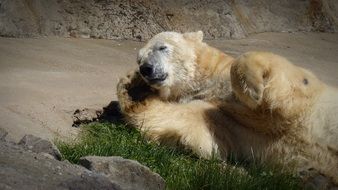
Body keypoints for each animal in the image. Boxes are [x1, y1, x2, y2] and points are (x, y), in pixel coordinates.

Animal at [117, 31, 338, 183]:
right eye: (139, 59)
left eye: (162, 47)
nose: (145, 69)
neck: (209, 81)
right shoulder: (218, 113)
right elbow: (190, 126)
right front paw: (132, 86)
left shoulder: (305, 91)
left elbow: (282, 76)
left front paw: (254, 89)